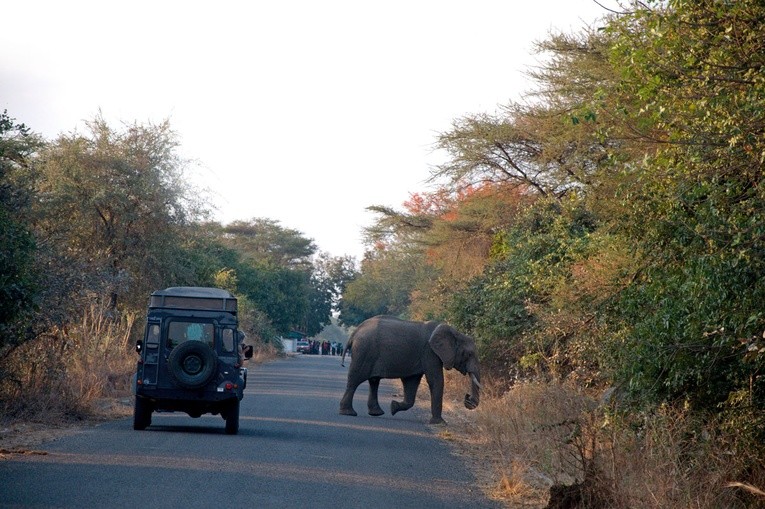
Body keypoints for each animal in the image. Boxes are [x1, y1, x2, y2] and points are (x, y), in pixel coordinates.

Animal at [338, 316, 480, 422]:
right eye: (468, 354)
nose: (467, 398)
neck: (455, 332)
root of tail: (355, 333)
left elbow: (411, 383)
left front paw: (393, 407)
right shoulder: (429, 353)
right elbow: (436, 380)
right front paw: (440, 423)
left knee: (374, 382)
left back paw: (376, 413)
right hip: (364, 351)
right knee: (355, 380)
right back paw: (348, 413)